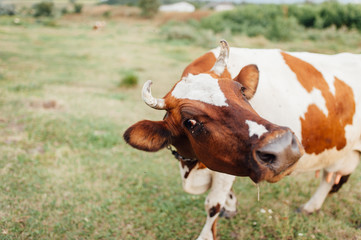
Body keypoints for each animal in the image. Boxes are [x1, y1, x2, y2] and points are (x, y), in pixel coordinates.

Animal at [122, 40, 358, 239]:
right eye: (190, 122)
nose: (282, 147)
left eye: (242, 92)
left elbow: (212, 205)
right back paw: (310, 207)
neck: (192, 168)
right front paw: (231, 206)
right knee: (329, 177)